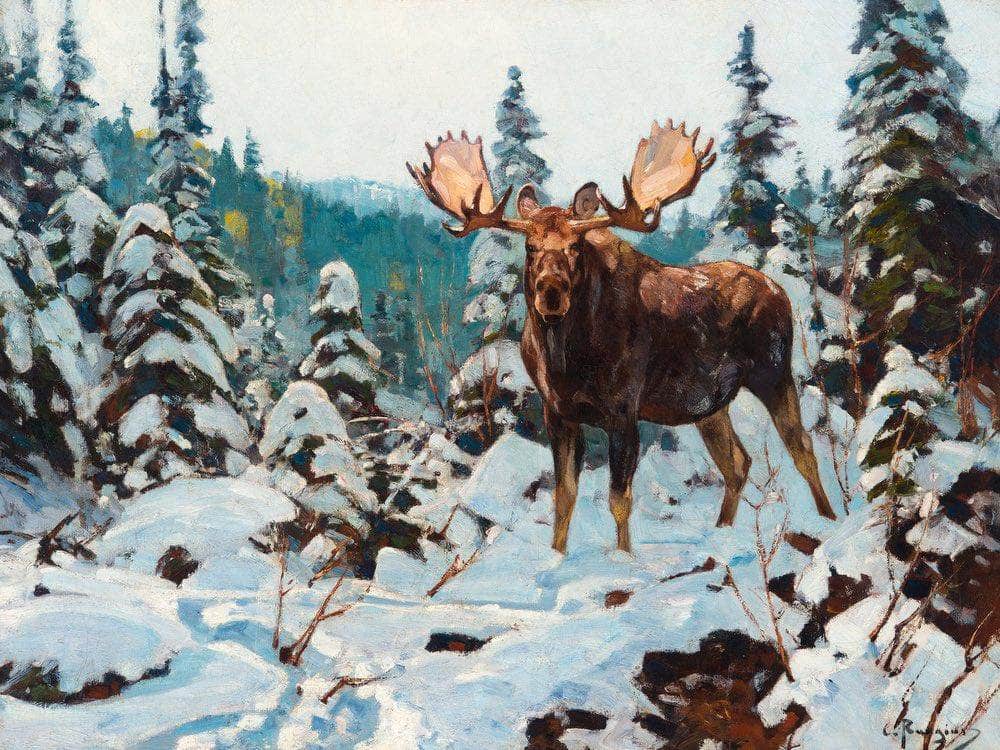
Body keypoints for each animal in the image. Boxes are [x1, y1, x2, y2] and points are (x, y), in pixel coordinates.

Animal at [408, 120, 836, 554]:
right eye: (530, 247)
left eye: (575, 246)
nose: (550, 291)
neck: (566, 360)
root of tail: (780, 292)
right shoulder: (557, 412)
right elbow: (564, 495)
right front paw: (557, 555)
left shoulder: (624, 409)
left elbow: (619, 499)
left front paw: (624, 556)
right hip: (709, 404)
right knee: (737, 462)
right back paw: (724, 532)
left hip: (773, 371)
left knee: (802, 447)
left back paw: (830, 521)